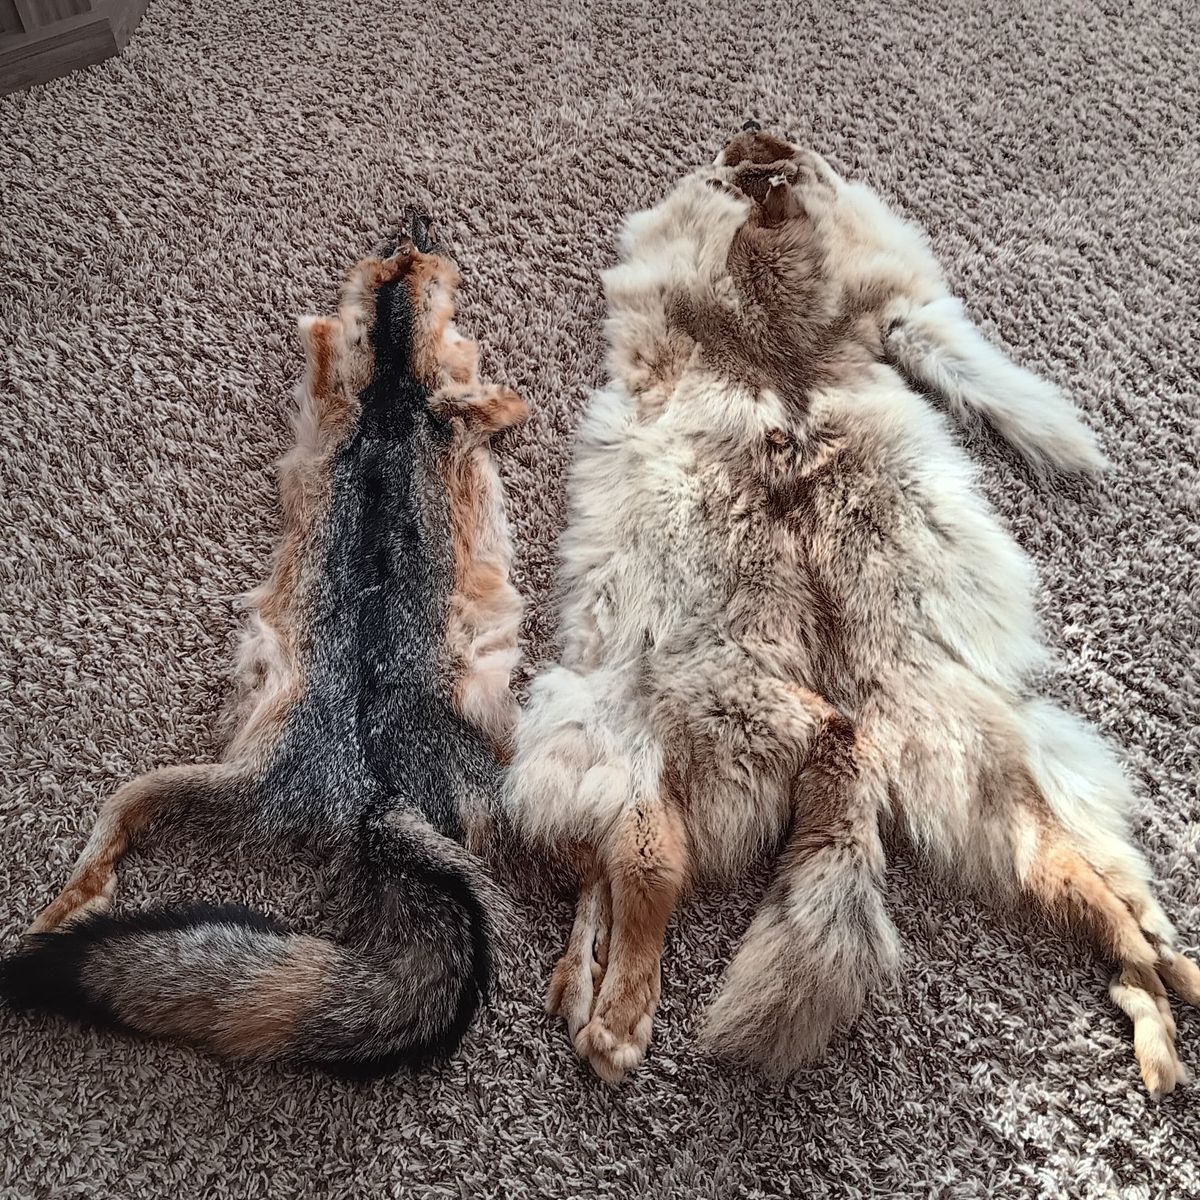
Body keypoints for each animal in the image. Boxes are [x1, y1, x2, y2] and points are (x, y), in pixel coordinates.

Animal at [1, 211, 528, 1077]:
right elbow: (490, 396)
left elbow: (325, 356)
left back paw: (61, 911)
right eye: (424, 257)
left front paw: (327, 329)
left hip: (180, 783)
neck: (392, 391)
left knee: (101, 845)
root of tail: (374, 792)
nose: (418, 214)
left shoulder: (339, 403)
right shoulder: (456, 409)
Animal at [503, 126, 1199, 1096]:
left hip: (670, 737)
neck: (778, 351)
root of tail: (849, 719)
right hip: (985, 801)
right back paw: (1166, 1003)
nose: (757, 141)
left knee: (646, 869)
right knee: (1101, 904)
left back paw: (614, 1028)